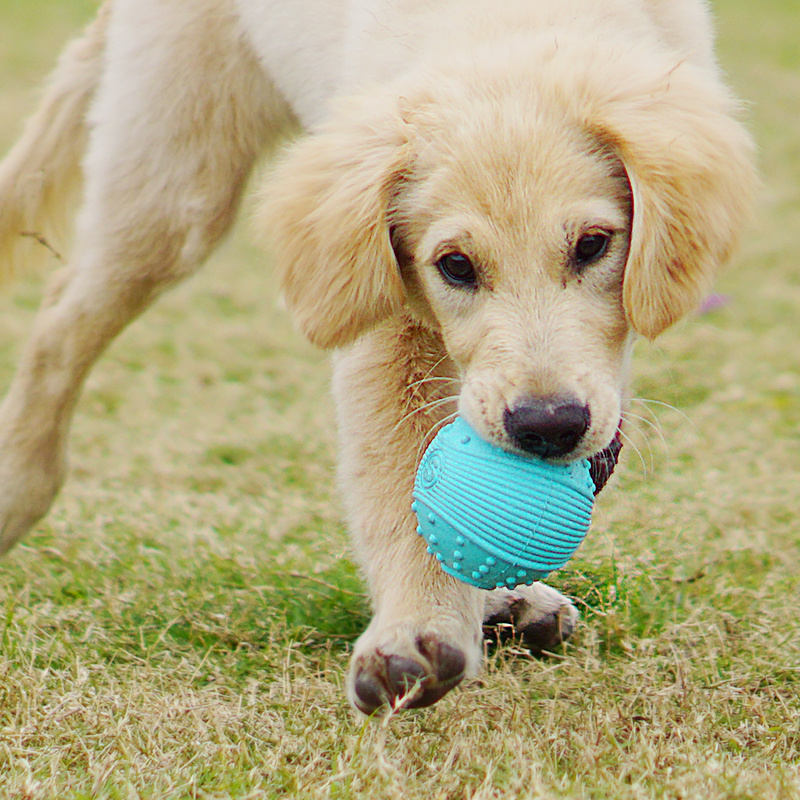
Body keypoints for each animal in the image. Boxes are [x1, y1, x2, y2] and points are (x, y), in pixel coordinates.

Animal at [0, 0, 756, 712]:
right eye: (454, 266)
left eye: (594, 245)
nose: (548, 428)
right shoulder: (380, 300)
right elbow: (400, 472)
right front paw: (417, 629)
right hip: (176, 175)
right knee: (64, 316)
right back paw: (18, 487)